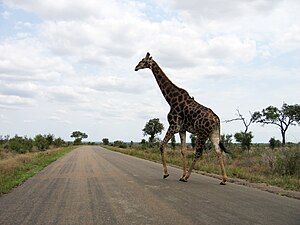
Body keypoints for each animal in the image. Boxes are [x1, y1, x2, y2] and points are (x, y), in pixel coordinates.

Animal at [135, 52, 229, 185]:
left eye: (143, 61)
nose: (135, 67)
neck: (171, 100)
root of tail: (216, 120)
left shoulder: (173, 125)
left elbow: (162, 146)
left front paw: (166, 174)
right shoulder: (182, 129)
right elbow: (183, 150)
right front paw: (181, 175)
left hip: (202, 133)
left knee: (198, 153)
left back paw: (187, 177)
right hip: (213, 133)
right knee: (218, 151)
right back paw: (224, 179)